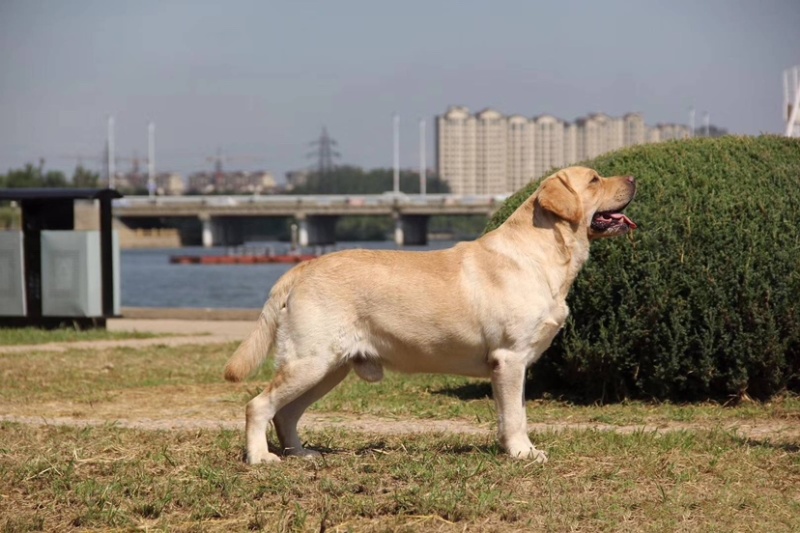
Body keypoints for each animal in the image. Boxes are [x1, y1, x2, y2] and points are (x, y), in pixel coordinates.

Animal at [225, 165, 636, 462]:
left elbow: (514, 413)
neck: (543, 254)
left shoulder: (516, 365)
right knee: (257, 405)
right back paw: (261, 458)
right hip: (310, 361)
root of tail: (303, 267)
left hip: (328, 368)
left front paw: (519, 449)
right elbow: (515, 416)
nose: (634, 179)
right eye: (594, 180)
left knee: (286, 414)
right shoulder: (510, 358)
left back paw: (300, 453)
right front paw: (522, 453)